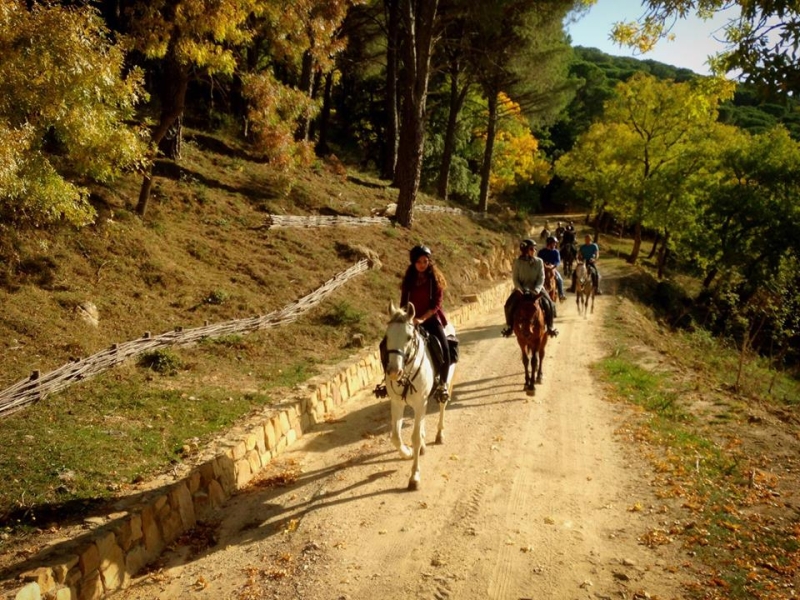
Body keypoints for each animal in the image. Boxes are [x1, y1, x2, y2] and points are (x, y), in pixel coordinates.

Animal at [382, 302, 454, 490]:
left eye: (408, 337)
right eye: (387, 336)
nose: (394, 372)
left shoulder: (420, 402)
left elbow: (414, 437)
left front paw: (414, 476)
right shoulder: (397, 403)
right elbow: (395, 436)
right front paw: (407, 452)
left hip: (445, 385)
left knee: (442, 406)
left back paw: (439, 435)